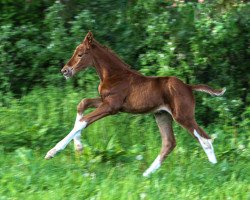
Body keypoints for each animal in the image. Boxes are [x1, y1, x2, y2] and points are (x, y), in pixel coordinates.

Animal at [45, 31, 227, 177]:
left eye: (81, 54)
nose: (65, 71)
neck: (114, 75)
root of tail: (189, 87)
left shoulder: (111, 106)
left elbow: (83, 121)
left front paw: (53, 151)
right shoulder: (106, 102)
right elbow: (82, 104)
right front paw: (78, 149)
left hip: (182, 116)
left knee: (205, 139)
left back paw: (215, 170)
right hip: (162, 115)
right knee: (169, 143)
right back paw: (146, 174)